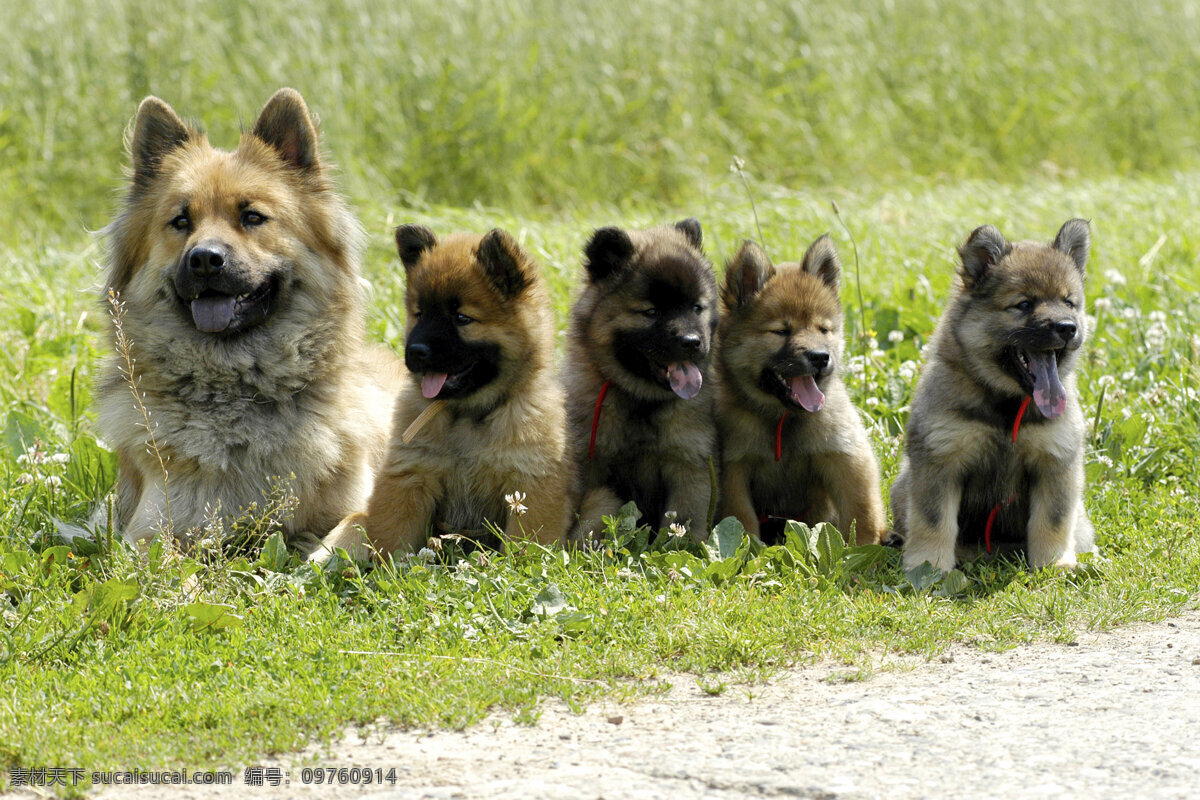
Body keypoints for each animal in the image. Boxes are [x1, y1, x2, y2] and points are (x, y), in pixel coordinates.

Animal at [94, 89, 403, 551]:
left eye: (252, 217)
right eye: (180, 221)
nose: (205, 259)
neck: (239, 392)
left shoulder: (358, 506)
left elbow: (352, 527)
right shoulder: (153, 529)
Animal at [319, 224, 571, 556]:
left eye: (462, 318)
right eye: (420, 313)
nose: (415, 351)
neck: (469, 414)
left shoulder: (530, 481)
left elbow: (527, 542)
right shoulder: (412, 474)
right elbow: (390, 535)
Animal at [564, 219, 715, 544]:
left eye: (697, 308)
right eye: (651, 312)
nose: (692, 342)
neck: (641, 400)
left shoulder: (689, 465)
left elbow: (684, 520)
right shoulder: (592, 464)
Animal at [715, 236, 888, 544]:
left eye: (823, 329)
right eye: (782, 331)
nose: (820, 357)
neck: (782, 418)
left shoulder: (845, 456)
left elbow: (862, 511)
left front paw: (863, 547)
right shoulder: (734, 469)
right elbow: (742, 519)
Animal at [892, 219, 1099, 568]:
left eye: (1069, 302)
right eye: (1024, 304)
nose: (1067, 327)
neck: (1006, 404)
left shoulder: (1055, 461)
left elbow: (1053, 519)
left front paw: (1054, 564)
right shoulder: (941, 460)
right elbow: (933, 520)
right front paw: (929, 567)